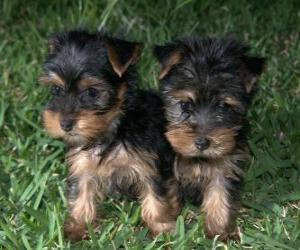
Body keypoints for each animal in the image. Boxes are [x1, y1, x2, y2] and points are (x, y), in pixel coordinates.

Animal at [39, 29, 180, 240]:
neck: (109, 131)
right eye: (56, 89)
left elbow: (155, 196)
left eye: (92, 92)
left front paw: (161, 228)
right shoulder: (82, 165)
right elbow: (81, 194)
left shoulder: (149, 164)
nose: (64, 124)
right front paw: (78, 226)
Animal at [155, 37, 264, 240]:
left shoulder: (227, 163)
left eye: (223, 107)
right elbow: (168, 191)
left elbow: (220, 193)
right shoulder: (166, 163)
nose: (202, 142)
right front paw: (168, 225)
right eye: (185, 105)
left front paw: (219, 232)